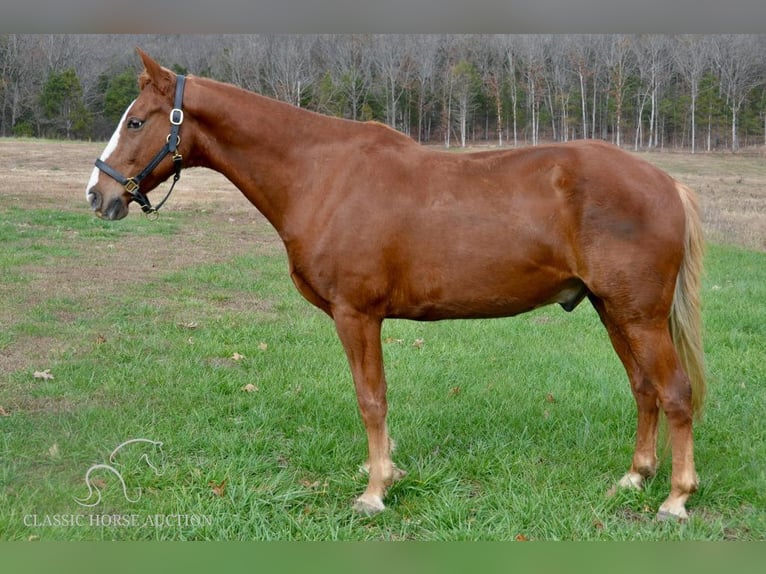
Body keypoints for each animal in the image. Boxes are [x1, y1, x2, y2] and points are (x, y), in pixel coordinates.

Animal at [85, 50, 708, 520]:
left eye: (136, 121)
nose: (99, 194)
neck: (321, 174)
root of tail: (666, 184)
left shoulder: (356, 314)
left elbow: (371, 398)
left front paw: (375, 490)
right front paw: (380, 470)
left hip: (639, 315)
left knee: (674, 392)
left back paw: (676, 499)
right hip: (613, 309)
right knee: (644, 389)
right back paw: (635, 478)